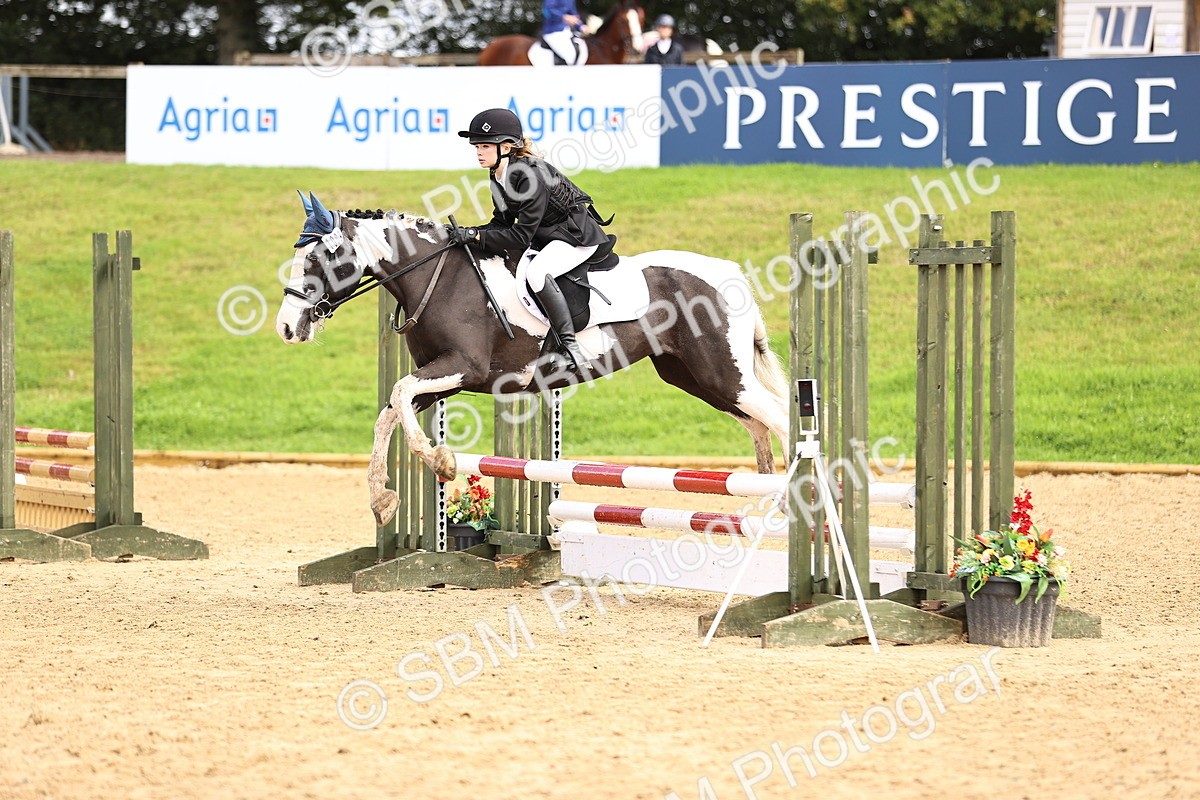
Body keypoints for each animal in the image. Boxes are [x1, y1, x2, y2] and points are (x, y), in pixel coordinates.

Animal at [276, 194, 790, 528]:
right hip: (696, 377)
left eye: (318, 259)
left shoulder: (463, 366)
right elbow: (390, 412)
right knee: (758, 424)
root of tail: (729, 273)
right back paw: (765, 504)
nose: (286, 327)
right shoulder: (445, 380)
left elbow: (400, 394)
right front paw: (383, 498)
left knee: (781, 418)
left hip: (720, 373)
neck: (436, 277)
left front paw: (441, 461)